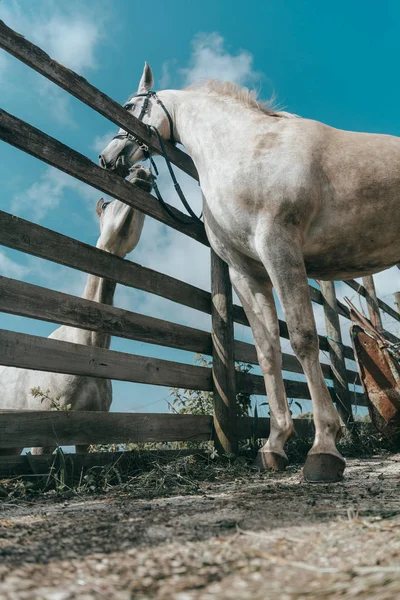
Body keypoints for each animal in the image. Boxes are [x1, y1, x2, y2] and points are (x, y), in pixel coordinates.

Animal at [99, 63, 400, 480]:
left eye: (129, 105)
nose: (106, 157)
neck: (246, 147)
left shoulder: (279, 248)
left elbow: (304, 339)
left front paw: (324, 449)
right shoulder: (246, 271)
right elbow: (268, 351)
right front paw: (274, 445)